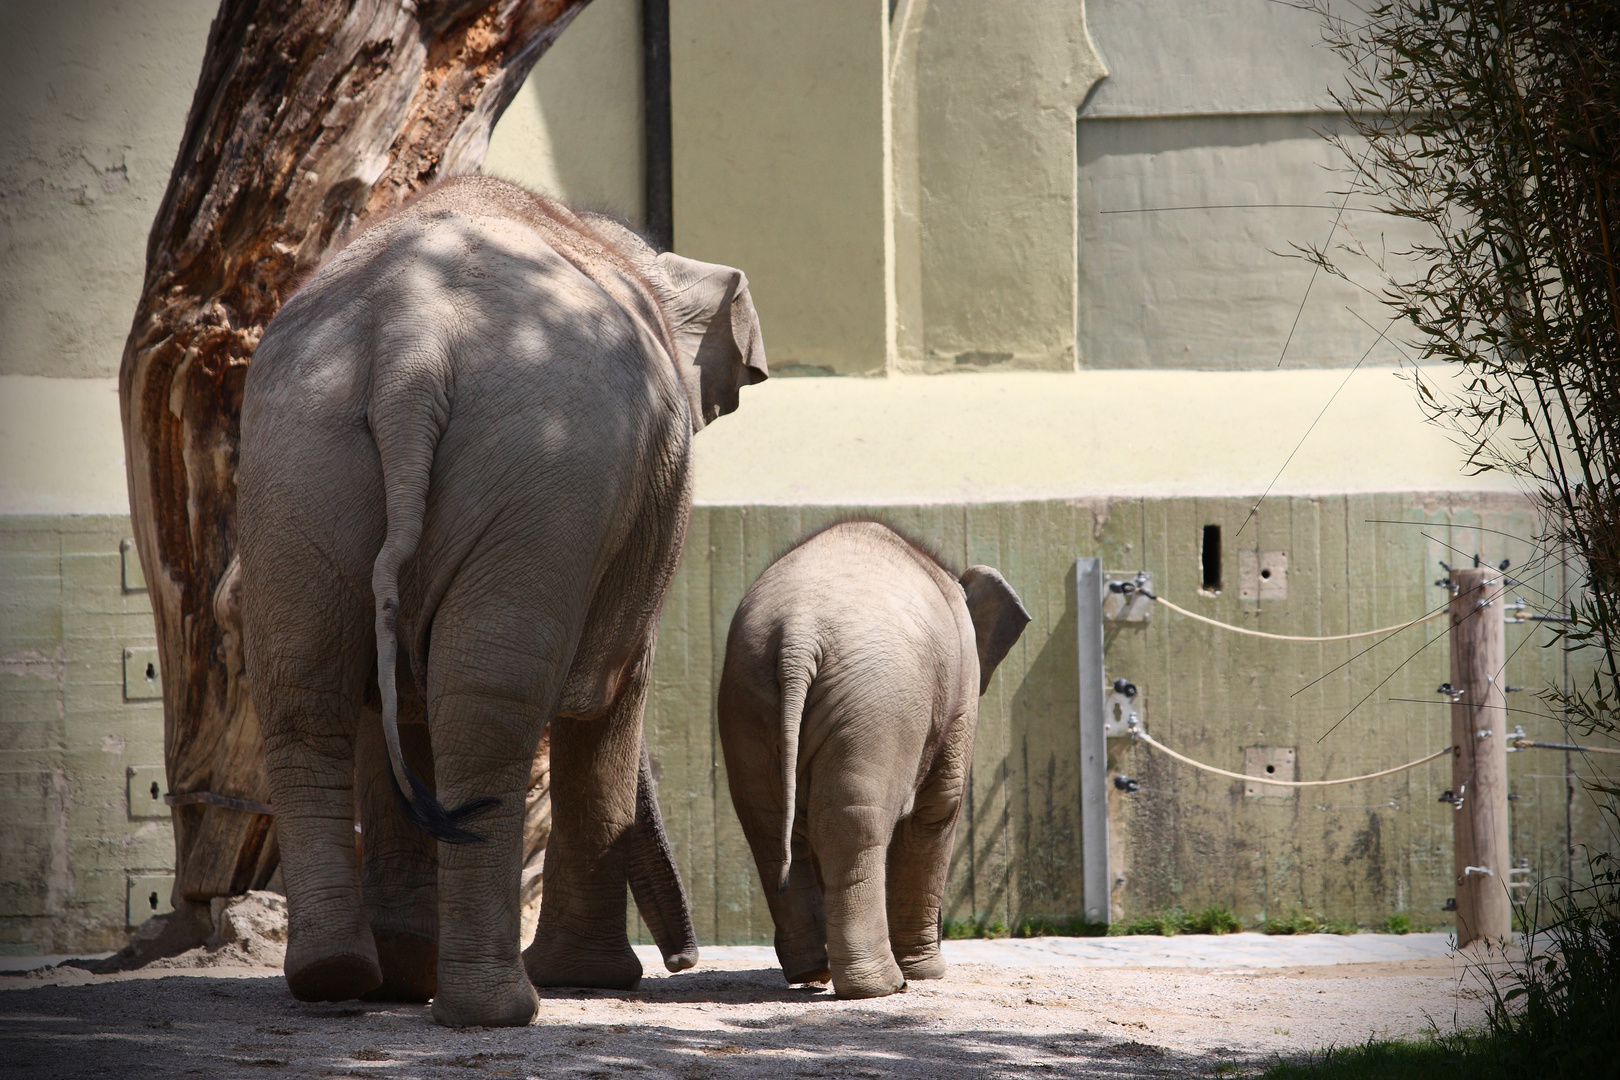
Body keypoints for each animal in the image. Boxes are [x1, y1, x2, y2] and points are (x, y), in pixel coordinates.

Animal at [236, 177, 771, 1029]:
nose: (685, 962)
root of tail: (411, 346)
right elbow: (610, 698)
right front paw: (593, 980)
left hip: (296, 460)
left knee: (305, 691)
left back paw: (345, 976)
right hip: (542, 473)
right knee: (491, 705)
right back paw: (501, 1005)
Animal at [719, 521, 1023, 997]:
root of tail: (798, 633)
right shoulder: (960, 696)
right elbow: (938, 811)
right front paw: (927, 972)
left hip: (747, 694)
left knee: (768, 825)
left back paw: (810, 972)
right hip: (877, 707)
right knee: (852, 822)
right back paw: (881, 985)